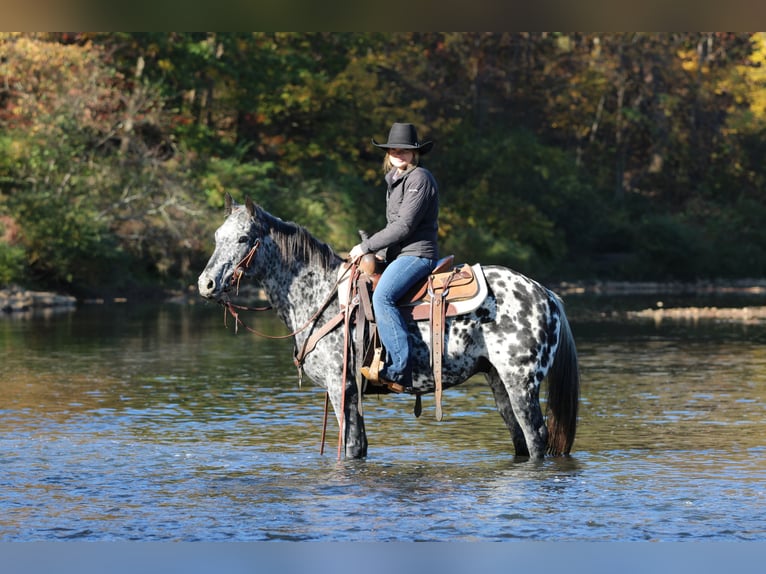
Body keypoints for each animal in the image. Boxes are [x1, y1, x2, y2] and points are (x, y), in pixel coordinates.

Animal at [197, 195, 580, 460]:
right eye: (217, 236)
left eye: (244, 238)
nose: (206, 284)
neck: (321, 295)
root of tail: (545, 293)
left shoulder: (341, 389)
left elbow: (352, 448)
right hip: (499, 382)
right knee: (521, 441)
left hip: (521, 383)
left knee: (536, 437)